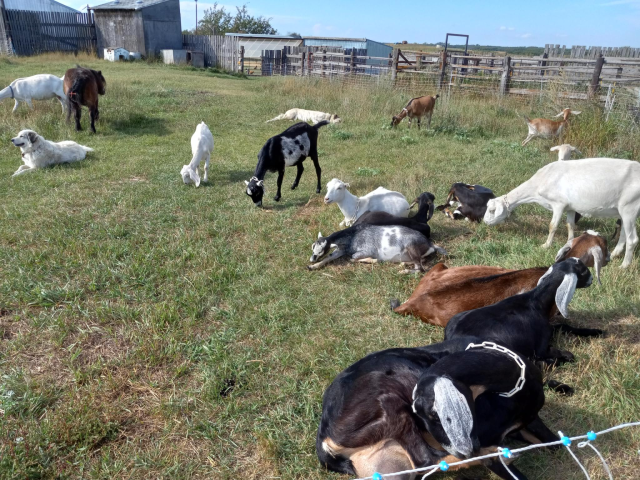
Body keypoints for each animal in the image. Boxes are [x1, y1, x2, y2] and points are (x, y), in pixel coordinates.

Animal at [308, 225, 445, 273]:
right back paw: (403, 265)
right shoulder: (342, 249)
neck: (353, 235)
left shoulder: (367, 250)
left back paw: (403, 271)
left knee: (420, 269)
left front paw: (373, 260)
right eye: (313, 246)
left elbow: (353, 258)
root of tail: (430, 244)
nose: (312, 259)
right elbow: (330, 257)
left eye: (321, 250)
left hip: (411, 247)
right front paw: (312, 267)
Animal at [317, 337, 558, 480]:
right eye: (433, 416)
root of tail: (324, 441)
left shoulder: (528, 422)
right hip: (390, 401)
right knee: (426, 460)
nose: (468, 449)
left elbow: (555, 443)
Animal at [444, 258, 600, 367]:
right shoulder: (541, 348)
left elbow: (563, 326)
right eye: (583, 271)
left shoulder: (548, 329)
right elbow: (557, 354)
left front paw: (596, 331)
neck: (537, 302)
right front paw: (564, 357)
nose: (592, 279)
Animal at [483, 158, 640, 267]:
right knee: (624, 235)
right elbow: (570, 225)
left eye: (492, 210)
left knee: (632, 239)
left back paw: (624, 266)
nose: (485, 222)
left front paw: (546, 245)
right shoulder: (570, 207)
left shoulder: (558, 204)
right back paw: (614, 255)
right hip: (624, 211)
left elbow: (553, 226)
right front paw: (570, 242)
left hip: (629, 207)